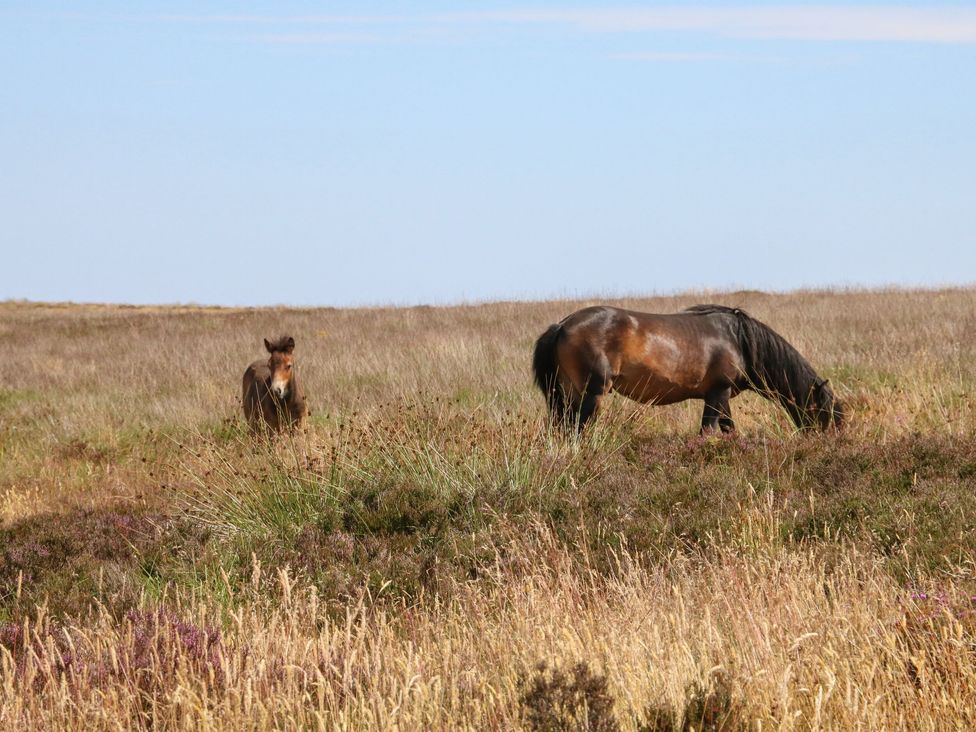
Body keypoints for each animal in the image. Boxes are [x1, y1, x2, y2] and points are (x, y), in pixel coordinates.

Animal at [528, 304, 844, 434]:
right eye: (824, 412)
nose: (824, 441)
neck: (739, 339)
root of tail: (562, 325)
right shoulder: (717, 394)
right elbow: (707, 432)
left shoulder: (720, 397)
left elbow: (729, 430)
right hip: (591, 394)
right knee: (577, 430)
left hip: (567, 394)